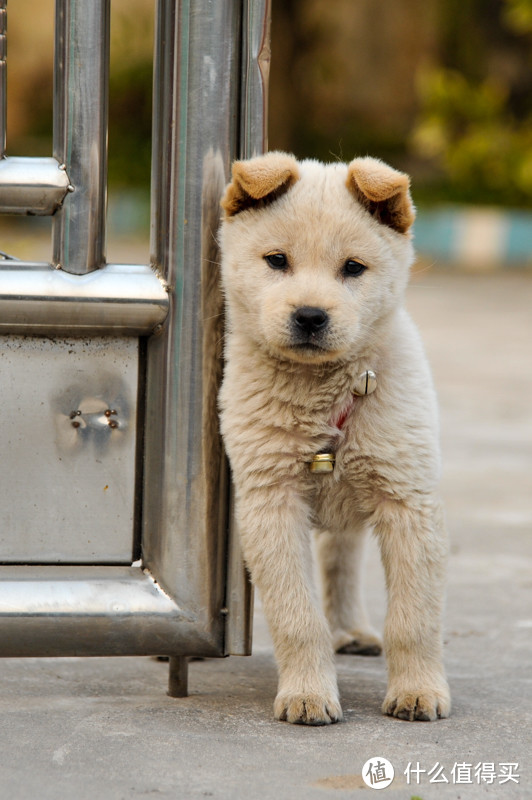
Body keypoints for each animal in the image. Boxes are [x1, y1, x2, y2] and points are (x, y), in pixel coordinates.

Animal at [218, 153, 450, 728]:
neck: (321, 394)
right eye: (277, 260)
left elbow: (414, 619)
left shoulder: (407, 499)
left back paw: (351, 630)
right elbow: (298, 616)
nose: (310, 316)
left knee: (341, 558)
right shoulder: (271, 503)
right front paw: (308, 695)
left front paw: (418, 691)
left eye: (353, 268)